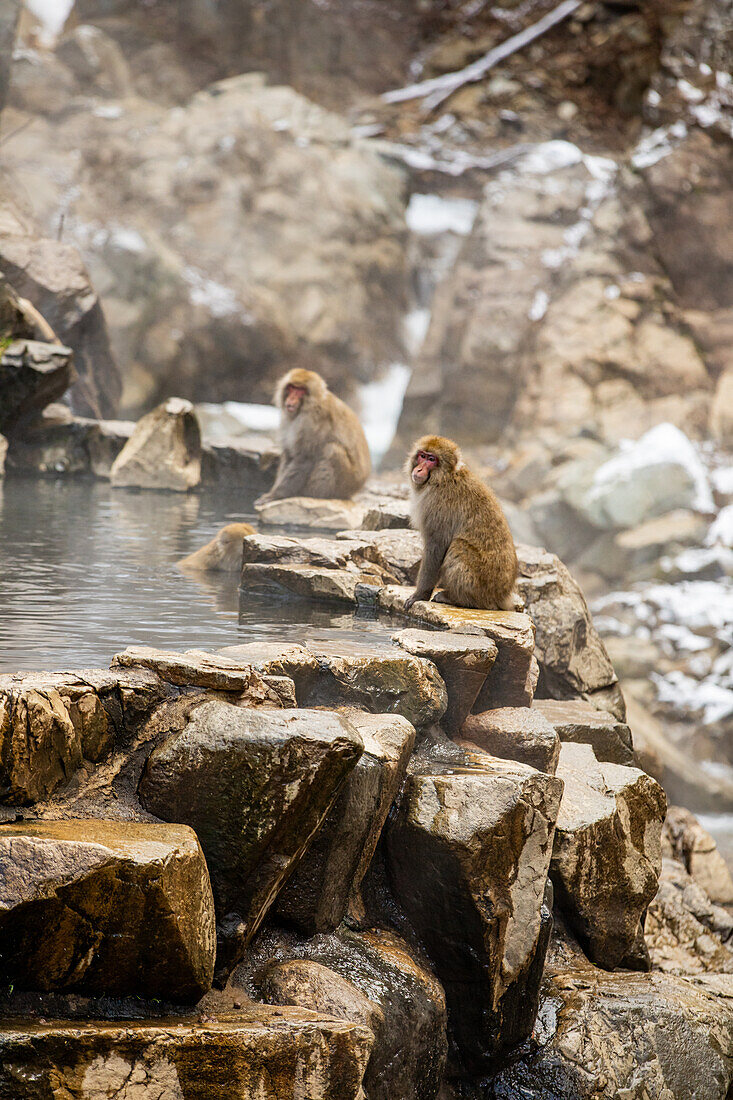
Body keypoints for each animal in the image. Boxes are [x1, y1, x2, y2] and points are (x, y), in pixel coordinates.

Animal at [256, 369, 372, 506]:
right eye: (292, 388)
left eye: (300, 390)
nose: (291, 398)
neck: (309, 405)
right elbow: (289, 455)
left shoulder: (311, 422)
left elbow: (305, 459)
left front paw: (276, 495)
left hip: (345, 482)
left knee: (332, 449)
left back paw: (315, 494)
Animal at [402, 435, 517, 611]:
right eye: (422, 455)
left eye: (431, 459)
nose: (419, 469)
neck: (442, 478)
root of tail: (502, 596)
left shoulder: (438, 505)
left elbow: (436, 546)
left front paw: (419, 595)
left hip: (482, 586)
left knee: (458, 546)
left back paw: (458, 599)